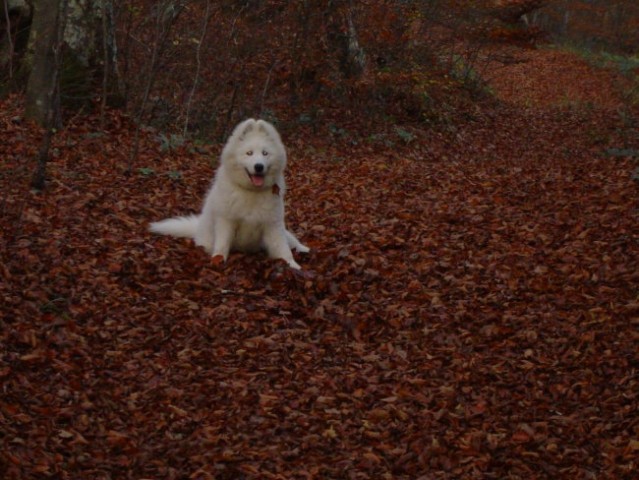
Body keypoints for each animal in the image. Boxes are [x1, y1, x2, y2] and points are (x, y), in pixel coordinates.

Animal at [151, 119, 310, 270]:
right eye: (249, 153)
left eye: (265, 153)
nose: (259, 166)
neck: (251, 191)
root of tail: (197, 228)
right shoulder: (226, 221)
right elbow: (222, 244)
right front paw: (218, 260)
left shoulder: (272, 225)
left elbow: (283, 250)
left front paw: (294, 266)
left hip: (284, 231)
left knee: (292, 242)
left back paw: (304, 250)